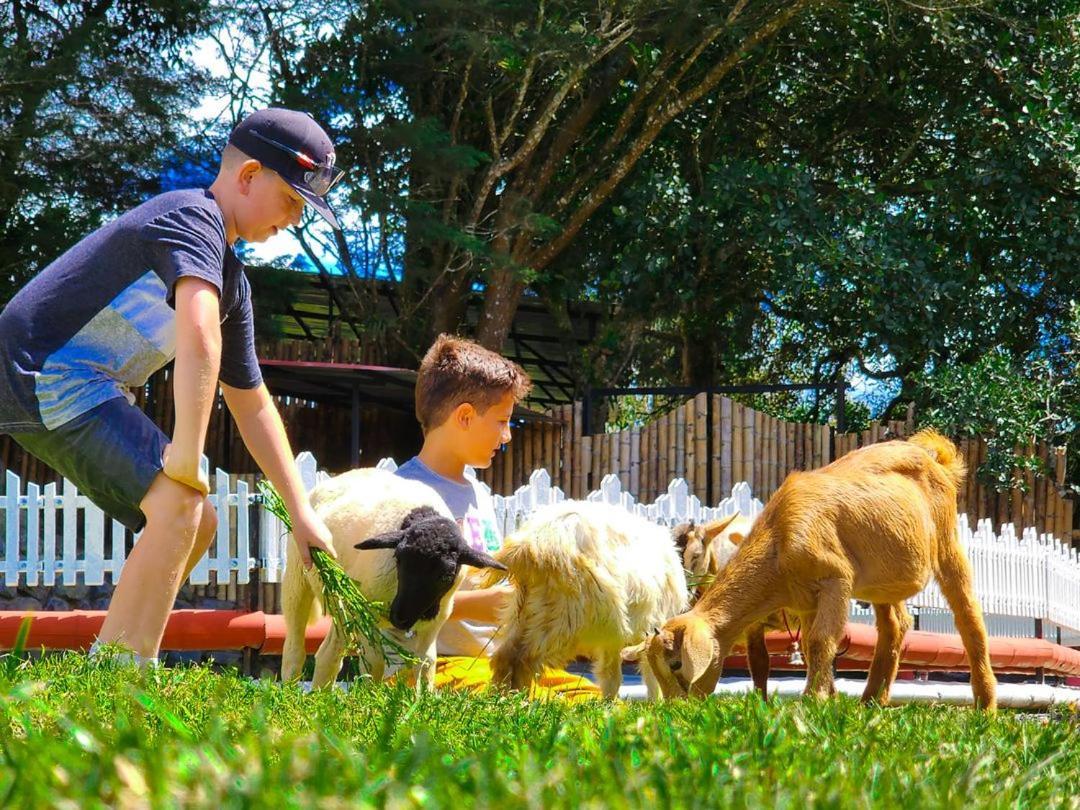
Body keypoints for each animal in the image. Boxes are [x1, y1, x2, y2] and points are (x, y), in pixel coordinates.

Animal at [483, 498, 686, 699]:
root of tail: (530, 544)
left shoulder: (615, 635)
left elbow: (612, 674)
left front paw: (609, 703)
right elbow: (645, 674)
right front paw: (654, 702)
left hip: (526, 612)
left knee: (505, 656)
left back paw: (504, 697)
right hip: (564, 617)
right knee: (523, 659)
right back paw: (517, 699)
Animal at [630, 432, 993, 708]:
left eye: (677, 663)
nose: (676, 709)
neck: (778, 538)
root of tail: (933, 455)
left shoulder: (835, 580)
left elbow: (820, 641)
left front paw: (813, 700)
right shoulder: (804, 600)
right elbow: (803, 647)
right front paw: (827, 698)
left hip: (947, 544)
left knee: (968, 617)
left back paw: (985, 705)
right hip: (881, 581)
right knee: (895, 625)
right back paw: (870, 701)